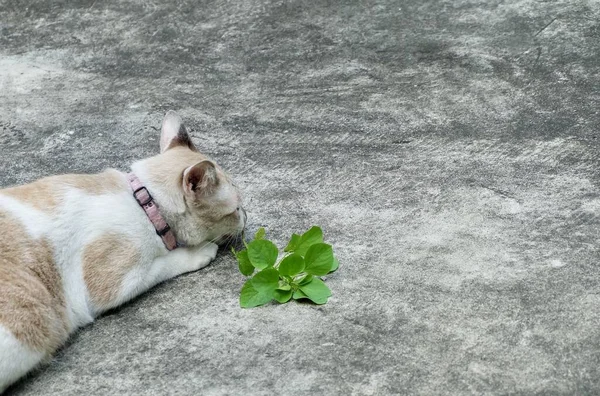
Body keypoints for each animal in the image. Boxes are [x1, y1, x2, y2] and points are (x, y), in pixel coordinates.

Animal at [0, 111, 246, 392]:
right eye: (236, 209)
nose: (246, 217)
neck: (144, 201)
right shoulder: (115, 282)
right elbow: (164, 263)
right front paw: (199, 252)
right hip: (33, 319)